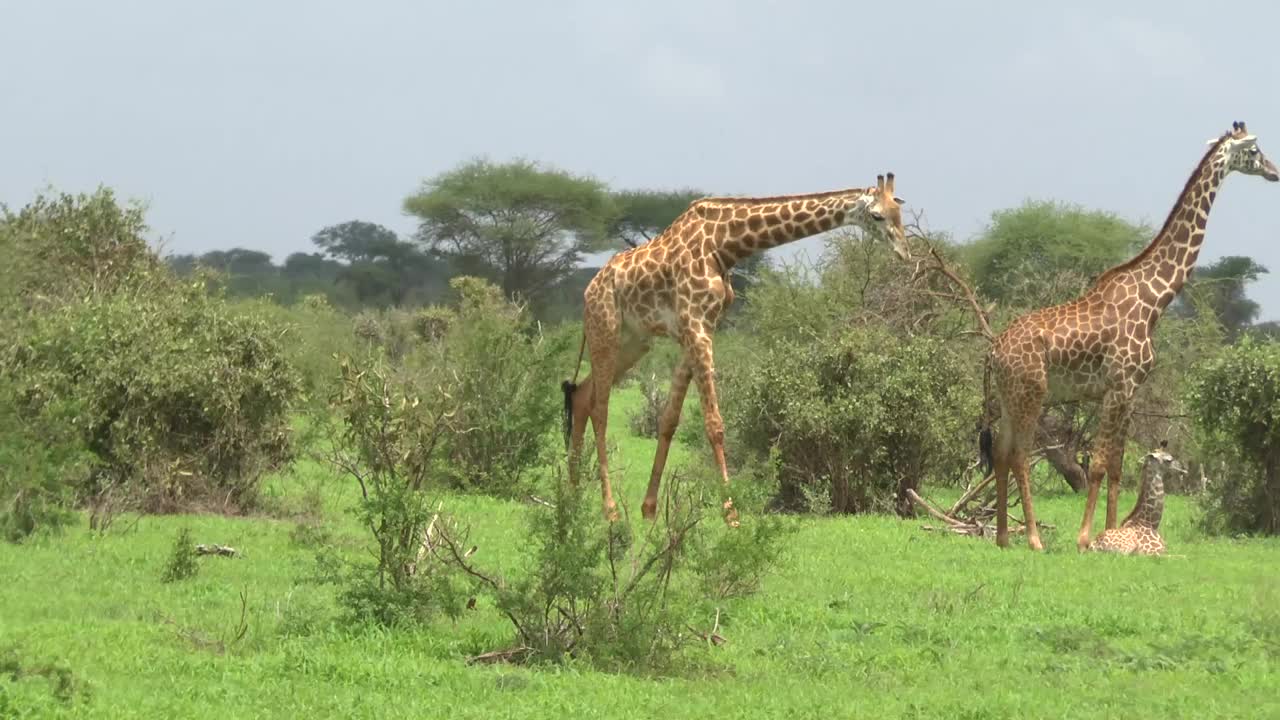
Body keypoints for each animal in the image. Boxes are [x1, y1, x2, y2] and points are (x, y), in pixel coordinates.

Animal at [563, 171, 911, 525]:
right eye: (877, 216)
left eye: (900, 212)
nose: (905, 253)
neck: (725, 245)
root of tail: (589, 290)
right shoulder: (696, 326)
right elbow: (714, 424)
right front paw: (731, 514)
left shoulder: (699, 328)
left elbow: (669, 419)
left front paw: (649, 509)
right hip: (605, 329)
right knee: (600, 409)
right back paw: (609, 509)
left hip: (635, 341)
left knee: (582, 395)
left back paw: (573, 493)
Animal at [977, 122, 1280, 548]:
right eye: (1254, 151)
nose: (1274, 172)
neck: (1155, 299)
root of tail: (993, 352)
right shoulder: (1117, 386)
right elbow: (1099, 463)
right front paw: (1084, 538)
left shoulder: (1131, 390)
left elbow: (1119, 465)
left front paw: (1111, 533)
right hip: (1031, 394)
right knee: (1020, 455)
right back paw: (1034, 539)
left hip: (1008, 399)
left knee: (1002, 455)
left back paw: (1004, 537)